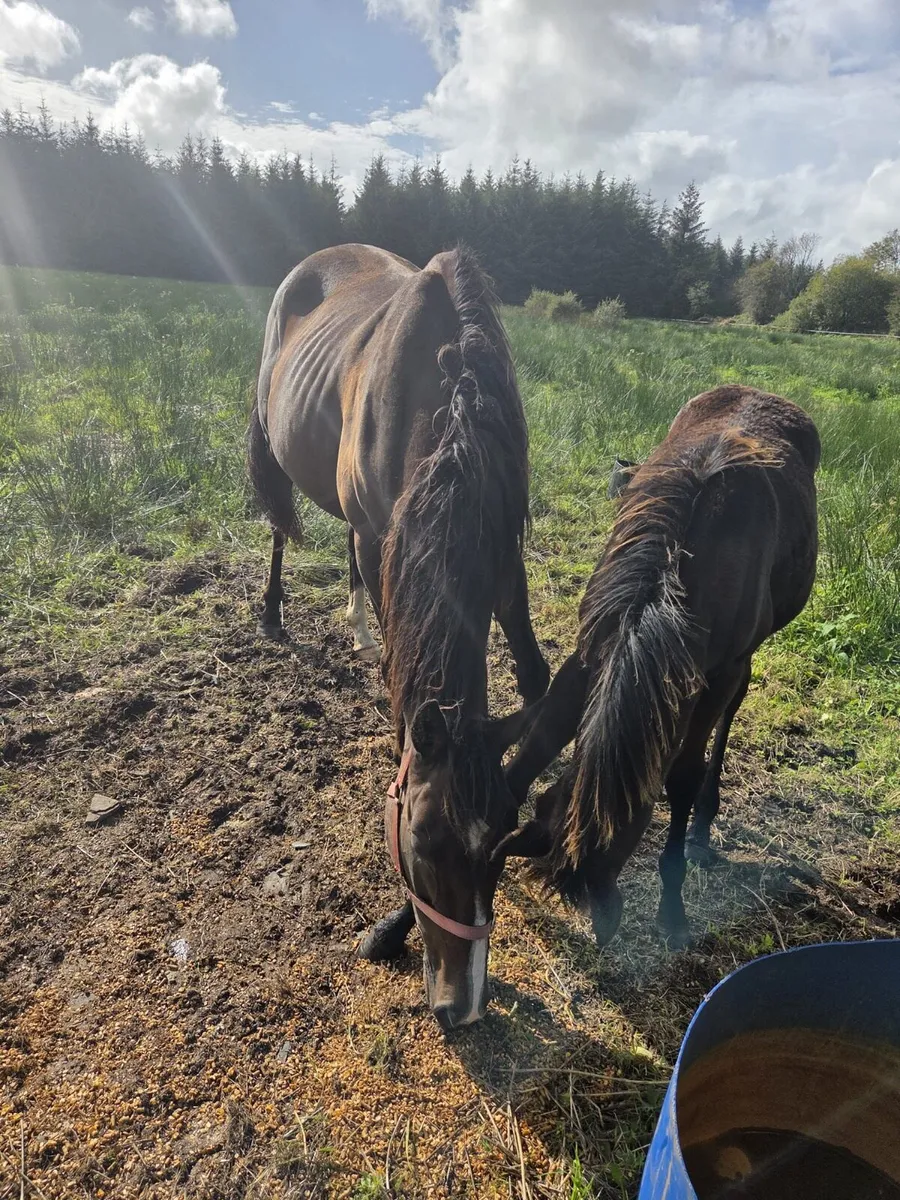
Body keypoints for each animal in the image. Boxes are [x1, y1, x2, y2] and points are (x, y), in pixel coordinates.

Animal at [247, 244, 550, 1029]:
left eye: (502, 847)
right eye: (419, 840)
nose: (461, 1008)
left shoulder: (501, 560)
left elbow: (535, 678)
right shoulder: (387, 540)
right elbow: (401, 712)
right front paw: (391, 925)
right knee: (281, 525)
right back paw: (272, 608)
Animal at [495, 386, 820, 948]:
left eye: (605, 867)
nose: (600, 923)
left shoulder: (716, 673)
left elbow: (684, 776)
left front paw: (672, 908)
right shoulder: (590, 654)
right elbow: (530, 752)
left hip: (742, 657)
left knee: (733, 709)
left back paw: (703, 829)